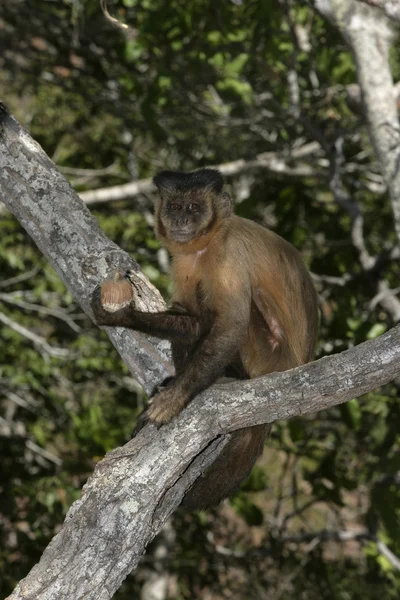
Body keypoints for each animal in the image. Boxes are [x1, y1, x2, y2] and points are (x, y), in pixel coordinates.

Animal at [91, 168, 318, 506]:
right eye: (174, 206)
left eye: (194, 208)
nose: (181, 220)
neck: (207, 243)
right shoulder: (184, 261)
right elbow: (193, 320)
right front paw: (121, 317)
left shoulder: (229, 255)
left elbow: (230, 327)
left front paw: (174, 399)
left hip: (271, 357)